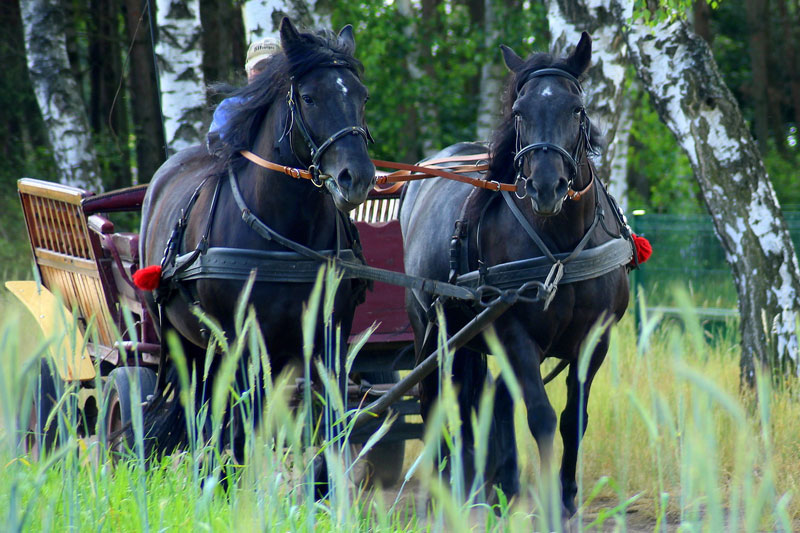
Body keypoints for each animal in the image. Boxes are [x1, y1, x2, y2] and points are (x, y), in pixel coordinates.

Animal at [138, 18, 375, 463]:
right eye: (309, 97)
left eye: (361, 96)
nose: (358, 177)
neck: (287, 239)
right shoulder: (242, 343)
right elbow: (239, 431)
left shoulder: (329, 338)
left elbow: (331, 428)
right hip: (183, 343)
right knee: (204, 416)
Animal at [399, 33, 633, 516]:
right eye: (520, 112)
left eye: (576, 109)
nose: (545, 186)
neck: (560, 244)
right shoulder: (514, 333)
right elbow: (541, 417)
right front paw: (546, 507)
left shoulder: (595, 338)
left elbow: (572, 419)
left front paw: (565, 500)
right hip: (430, 328)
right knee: (435, 401)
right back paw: (442, 492)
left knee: (488, 399)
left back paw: (493, 487)